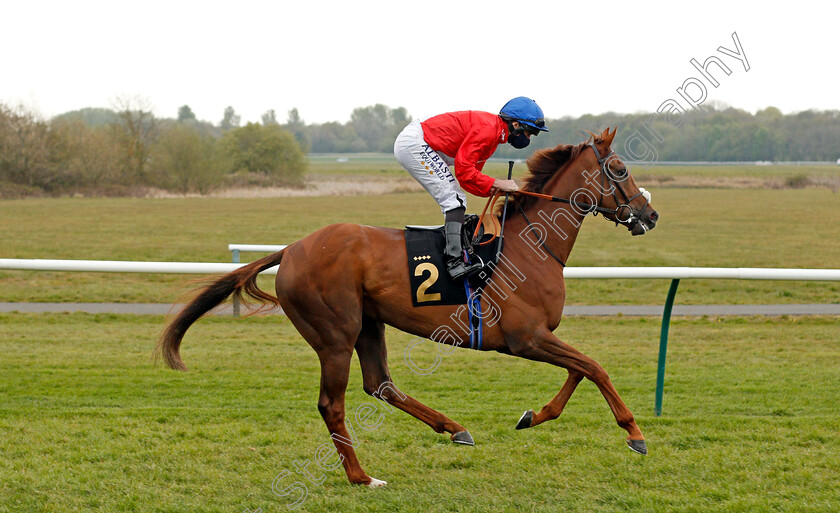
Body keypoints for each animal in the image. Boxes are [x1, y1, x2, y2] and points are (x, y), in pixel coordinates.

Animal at [156, 126, 656, 486]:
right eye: (618, 168)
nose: (649, 215)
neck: (533, 243)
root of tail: (291, 249)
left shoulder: (540, 336)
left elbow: (581, 369)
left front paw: (533, 416)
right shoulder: (525, 338)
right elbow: (595, 367)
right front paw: (635, 434)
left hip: (368, 324)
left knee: (380, 385)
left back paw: (453, 428)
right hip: (334, 335)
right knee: (332, 403)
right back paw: (361, 477)